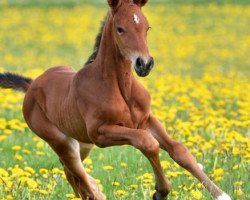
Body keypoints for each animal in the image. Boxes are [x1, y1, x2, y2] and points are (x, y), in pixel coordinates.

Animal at [0, 0, 230, 200]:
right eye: (120, 28)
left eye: (147, 27)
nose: (144, 64)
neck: (121, 89)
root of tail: (31, 85)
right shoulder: (101, 133)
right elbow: (147, 142)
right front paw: (160, 191)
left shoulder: (146, 120)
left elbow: (179, 150)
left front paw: (221, 194)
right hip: (61, 141)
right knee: (76, 172)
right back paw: (97, 192)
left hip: (82, 143)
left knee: (71, 172)